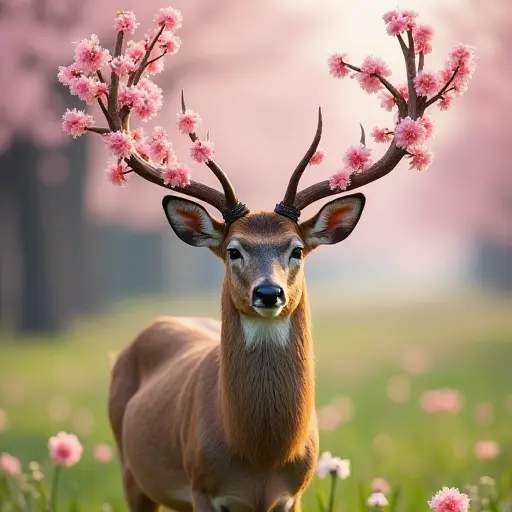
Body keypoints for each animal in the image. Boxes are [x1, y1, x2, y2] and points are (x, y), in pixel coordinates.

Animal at [55, 8, 472, 512]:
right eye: (234, 250)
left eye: (296, 249)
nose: (268, 292)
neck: (259, 456)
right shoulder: (202, 486)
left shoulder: (294, 494)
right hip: (131, 468)